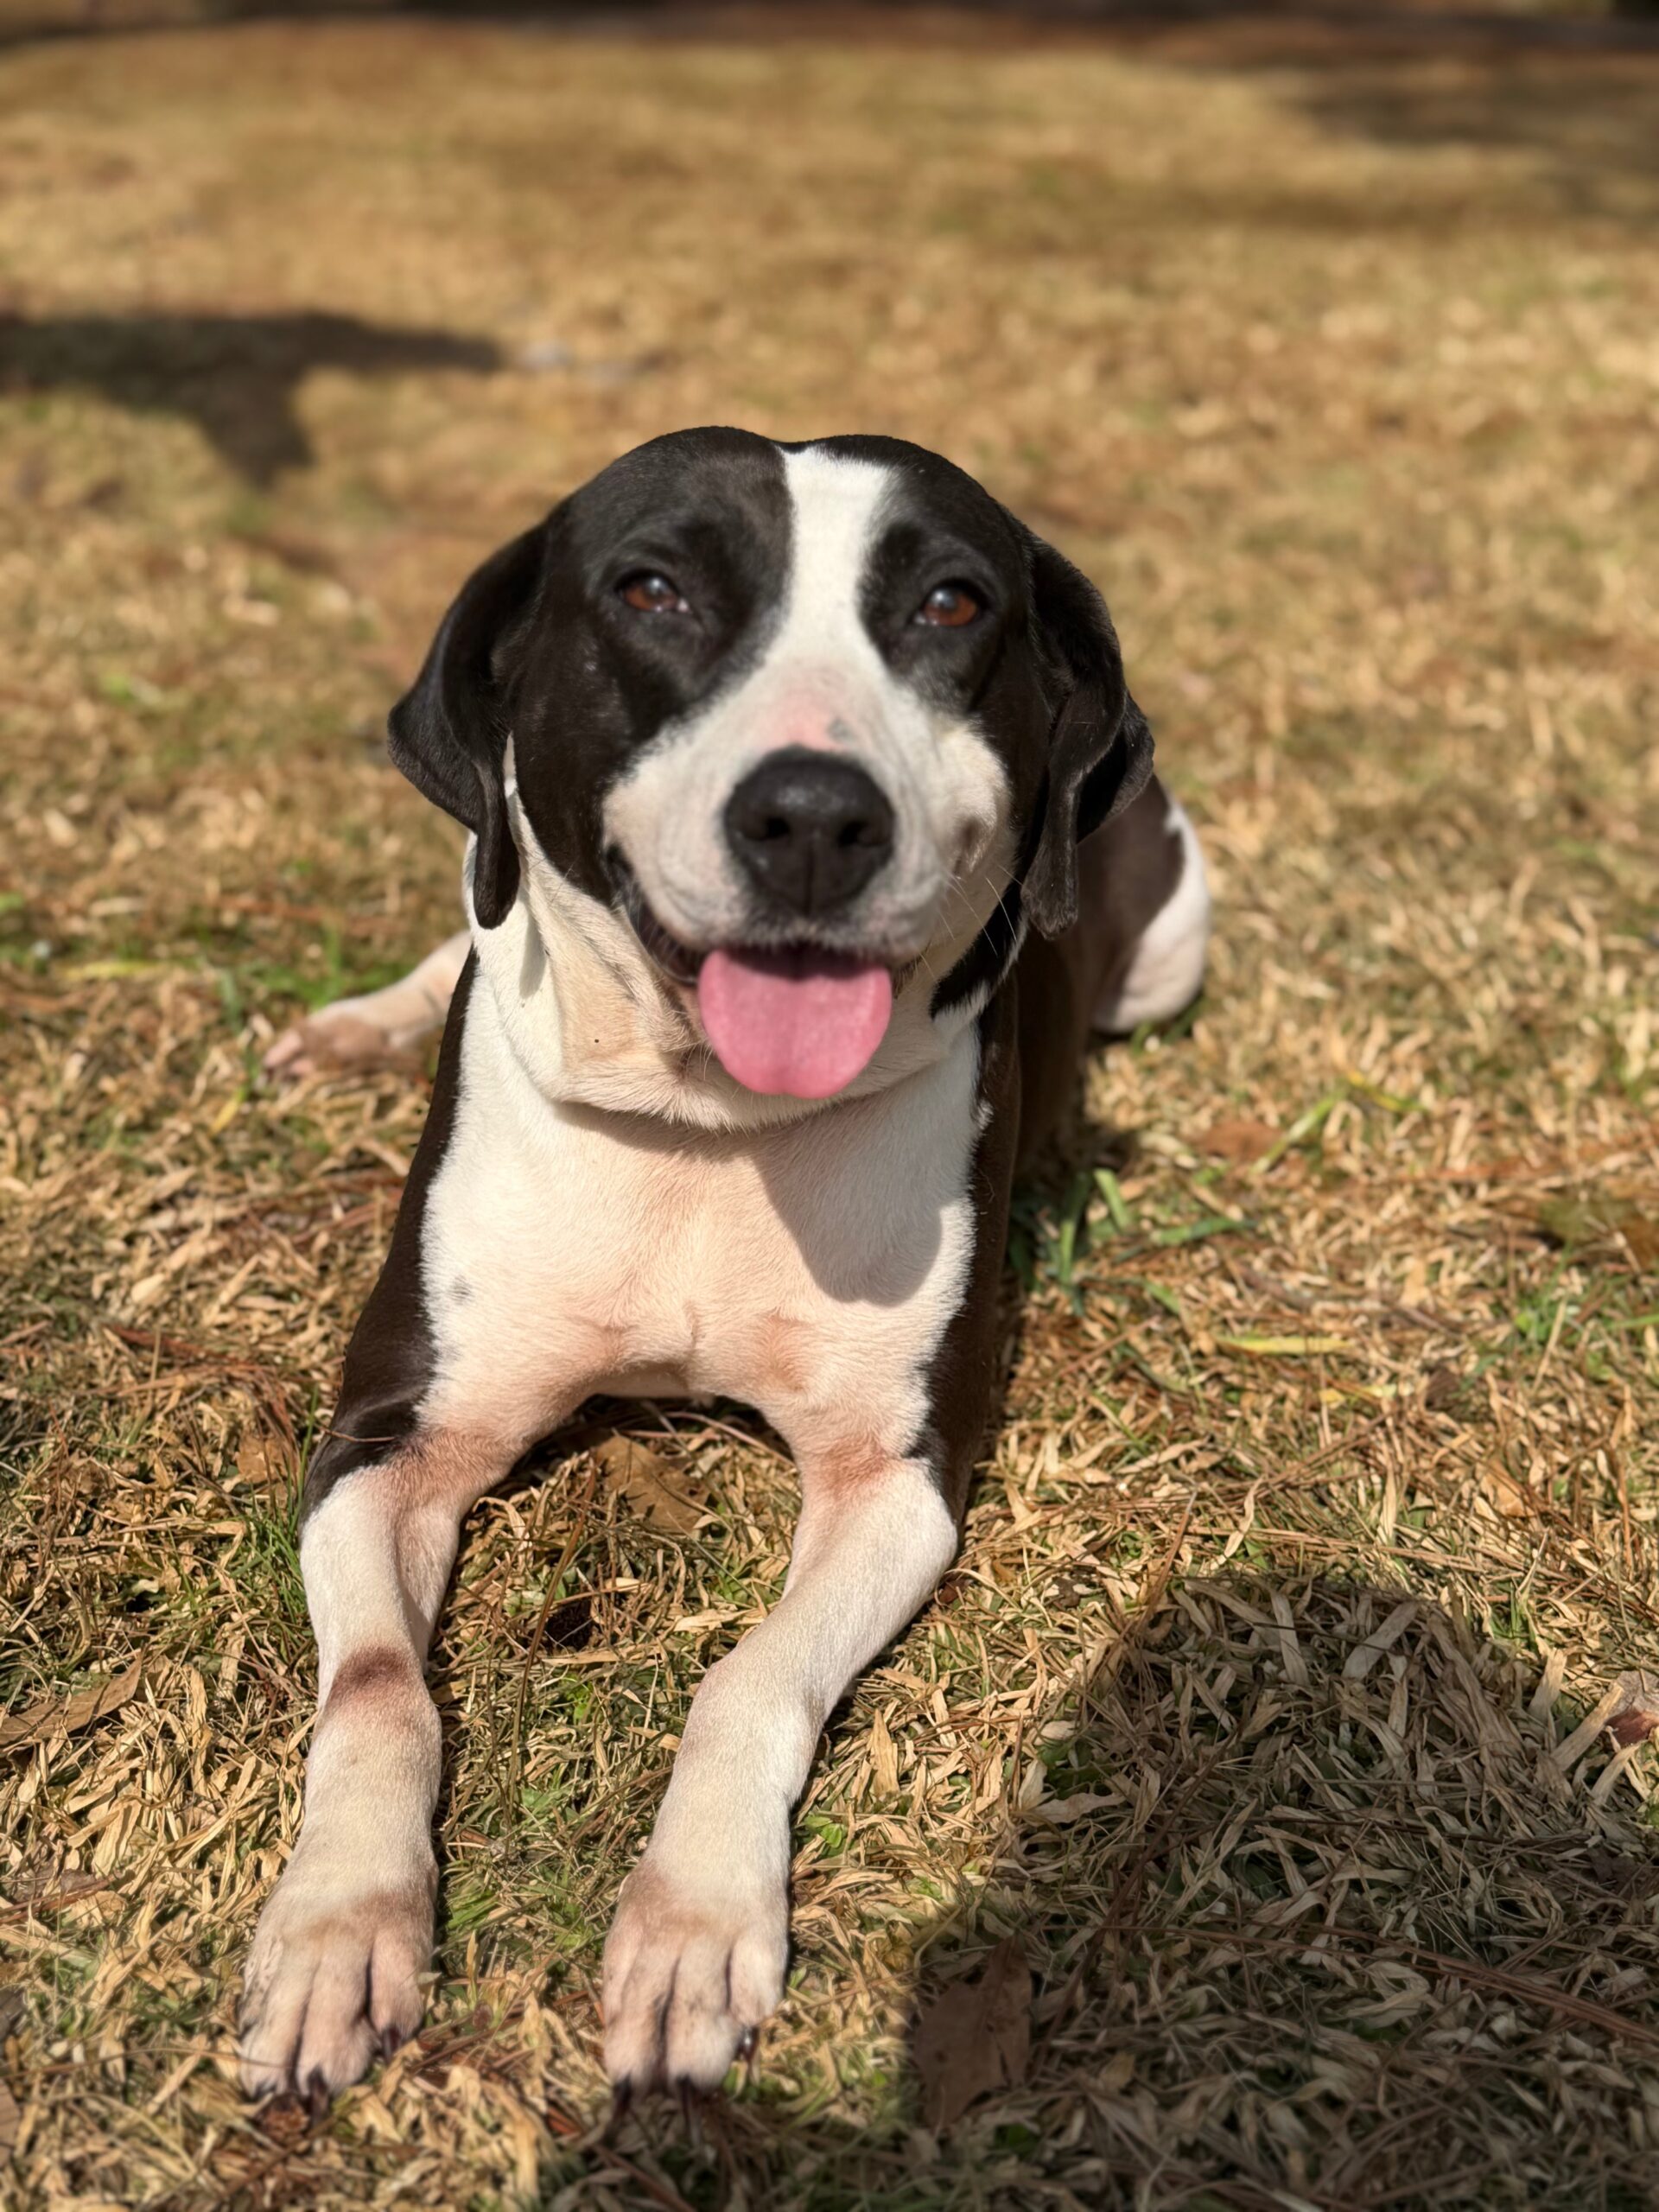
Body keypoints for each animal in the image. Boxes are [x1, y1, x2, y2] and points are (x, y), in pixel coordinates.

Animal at [239, 427, 1210, 2109]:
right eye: (652, 590)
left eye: (953, 602)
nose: (813, 814)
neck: (710, 1130)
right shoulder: (386, 1440)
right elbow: (376, 1686)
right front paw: (339, 1922)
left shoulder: (896, 1479)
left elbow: (748, 1679)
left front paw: (693, 1926)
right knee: (472, 910)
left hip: (1171, 947)